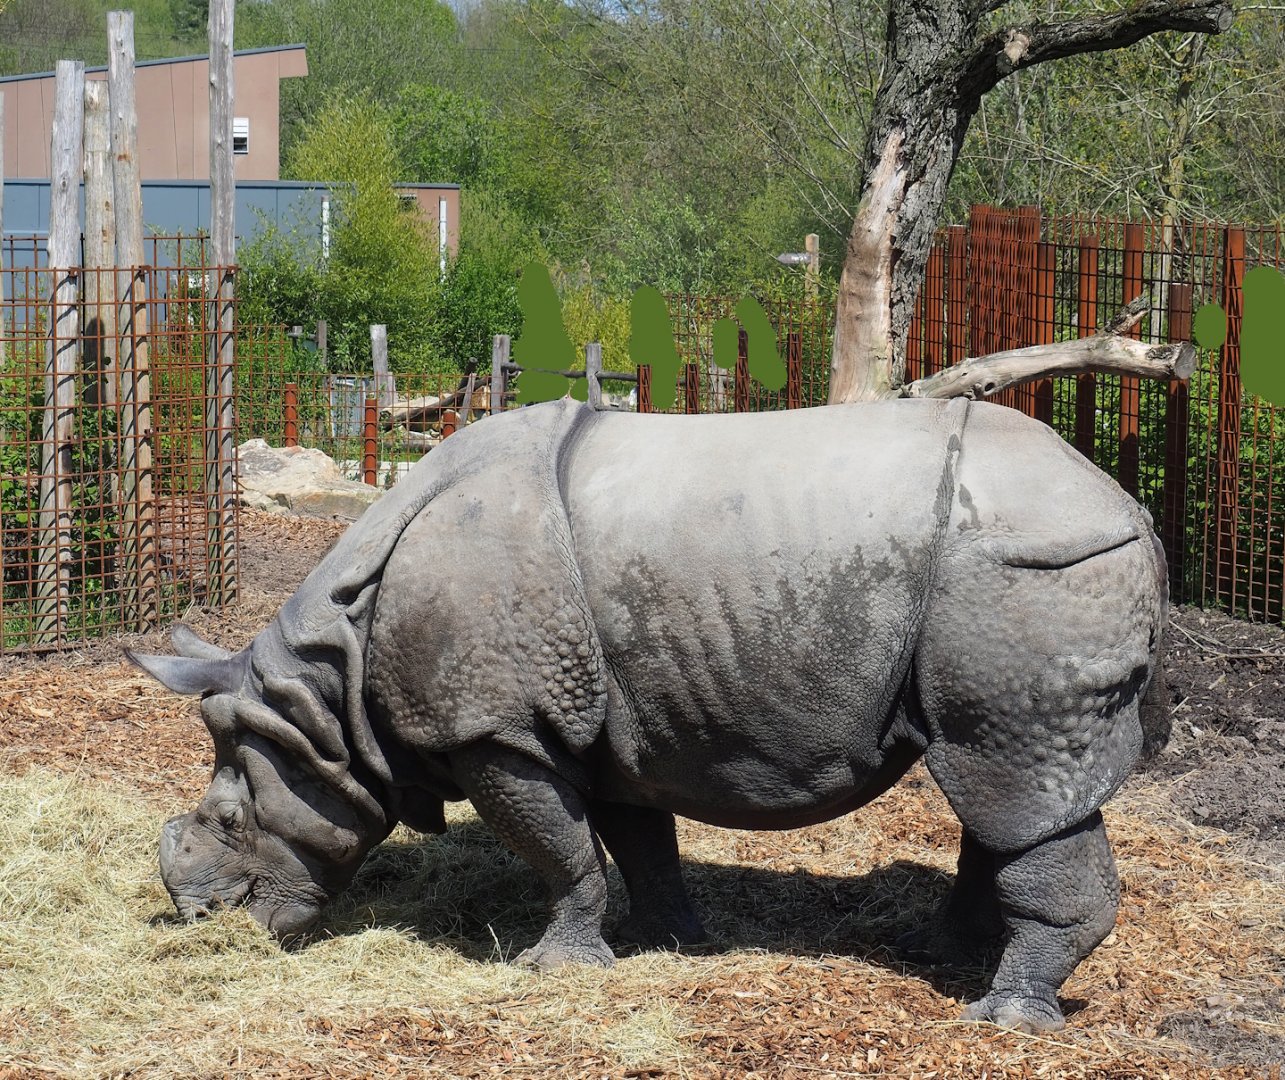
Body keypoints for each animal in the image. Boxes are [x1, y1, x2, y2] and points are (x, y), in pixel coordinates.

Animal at [130, 397, 1168, 1032]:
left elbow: (559, 850)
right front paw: (673, 939)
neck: (329, 692)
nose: (204, 921)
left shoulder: (497, 728)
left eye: (230, 822)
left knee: (1010, 776)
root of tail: (1128, 507)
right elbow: (633, 838)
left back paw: (1002, 1019)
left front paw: (552, 970)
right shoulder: (600, 722)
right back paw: (937, 954)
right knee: (997, 787)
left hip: (1028, 574)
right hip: (1021, 575)